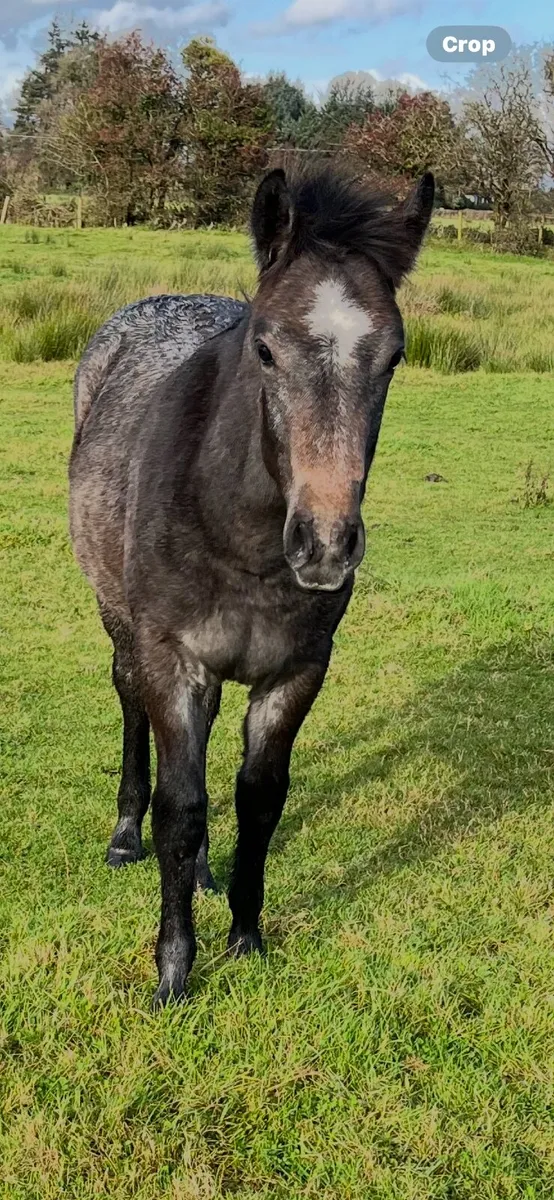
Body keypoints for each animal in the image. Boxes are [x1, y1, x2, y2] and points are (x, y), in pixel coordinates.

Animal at [69, 165, 434, 1007]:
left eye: (395, 355)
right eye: (265, 349)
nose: (325, 546)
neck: (239, 538)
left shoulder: (297, 671)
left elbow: (257, 798)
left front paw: (245, 937)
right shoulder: (172, 659)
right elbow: (180, 807)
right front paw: (173, 971)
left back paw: (205, 876)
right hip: (118, 617)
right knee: (129, 702)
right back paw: (124, 837)